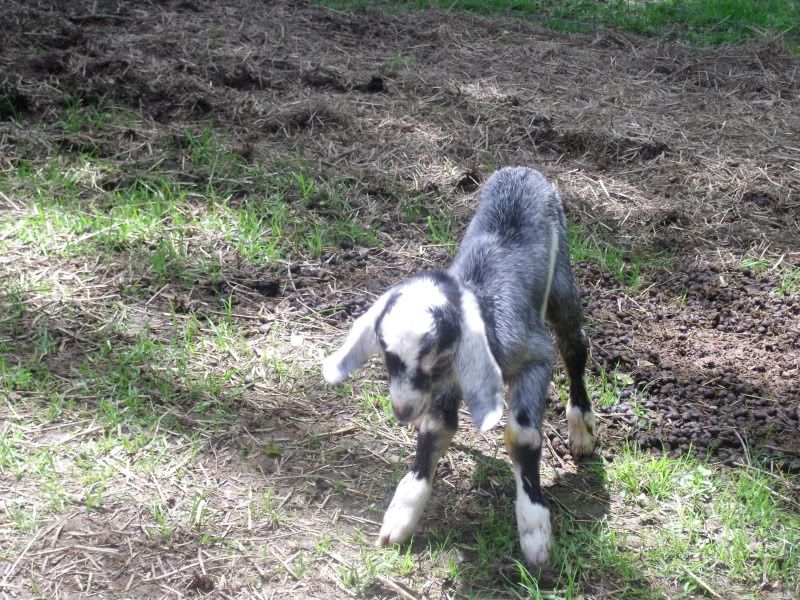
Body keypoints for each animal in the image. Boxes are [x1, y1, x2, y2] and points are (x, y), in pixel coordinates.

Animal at [322, 166, 595, 566]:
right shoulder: (446, 388)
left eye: (435, 358)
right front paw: (403, 513)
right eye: (387, 357)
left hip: (562, 279)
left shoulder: (534, 357)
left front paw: (535, 532)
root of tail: (521, 171)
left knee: (574, 345)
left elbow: (522, 437)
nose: (401, 411)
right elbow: (435, 428)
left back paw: (582, 426)